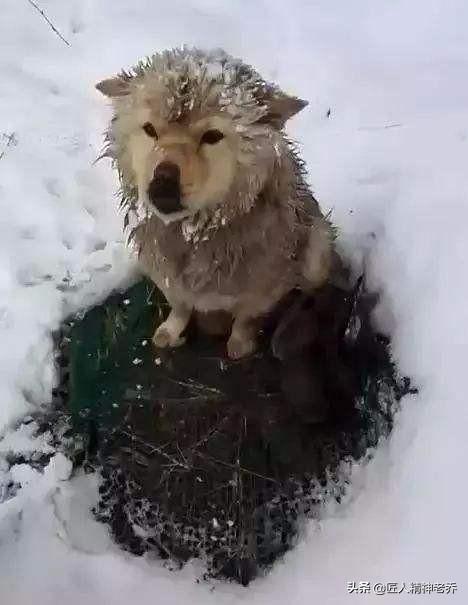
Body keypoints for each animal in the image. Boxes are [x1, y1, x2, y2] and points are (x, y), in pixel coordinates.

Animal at [96, 48, 336, 358]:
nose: (162, 185)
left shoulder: (264, 285)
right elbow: (180, 306)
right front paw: (171, 330)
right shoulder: (163, 270)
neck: (196, 234)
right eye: (150, 130)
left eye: (212, 136)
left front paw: (239, 344)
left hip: (317, 248)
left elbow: (246, 318)